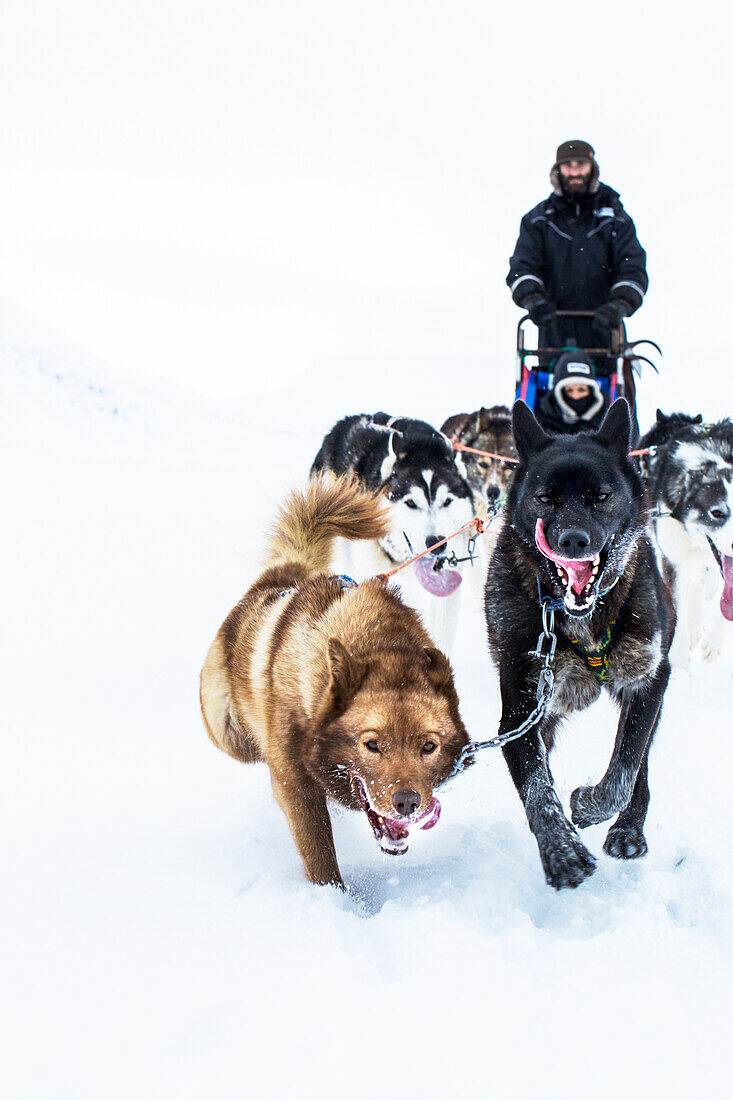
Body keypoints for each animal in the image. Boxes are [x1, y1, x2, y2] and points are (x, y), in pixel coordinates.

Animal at [198, 473, 468, 884]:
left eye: (428, 746)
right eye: (371, 745)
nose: (407, 802)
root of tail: (283, 575)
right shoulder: (295, 783)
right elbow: (319, 852)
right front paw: (333, 896)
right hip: (229, 733)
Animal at [484, 400, 673, 888]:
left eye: (600, 496)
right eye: (545, 497)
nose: (572, 540)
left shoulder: (650, 678)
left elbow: (624, 769)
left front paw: (588, 807)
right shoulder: (520, 710)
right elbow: (537, 786)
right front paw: (562, 850)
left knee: (639, 762)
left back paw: (628, 829)